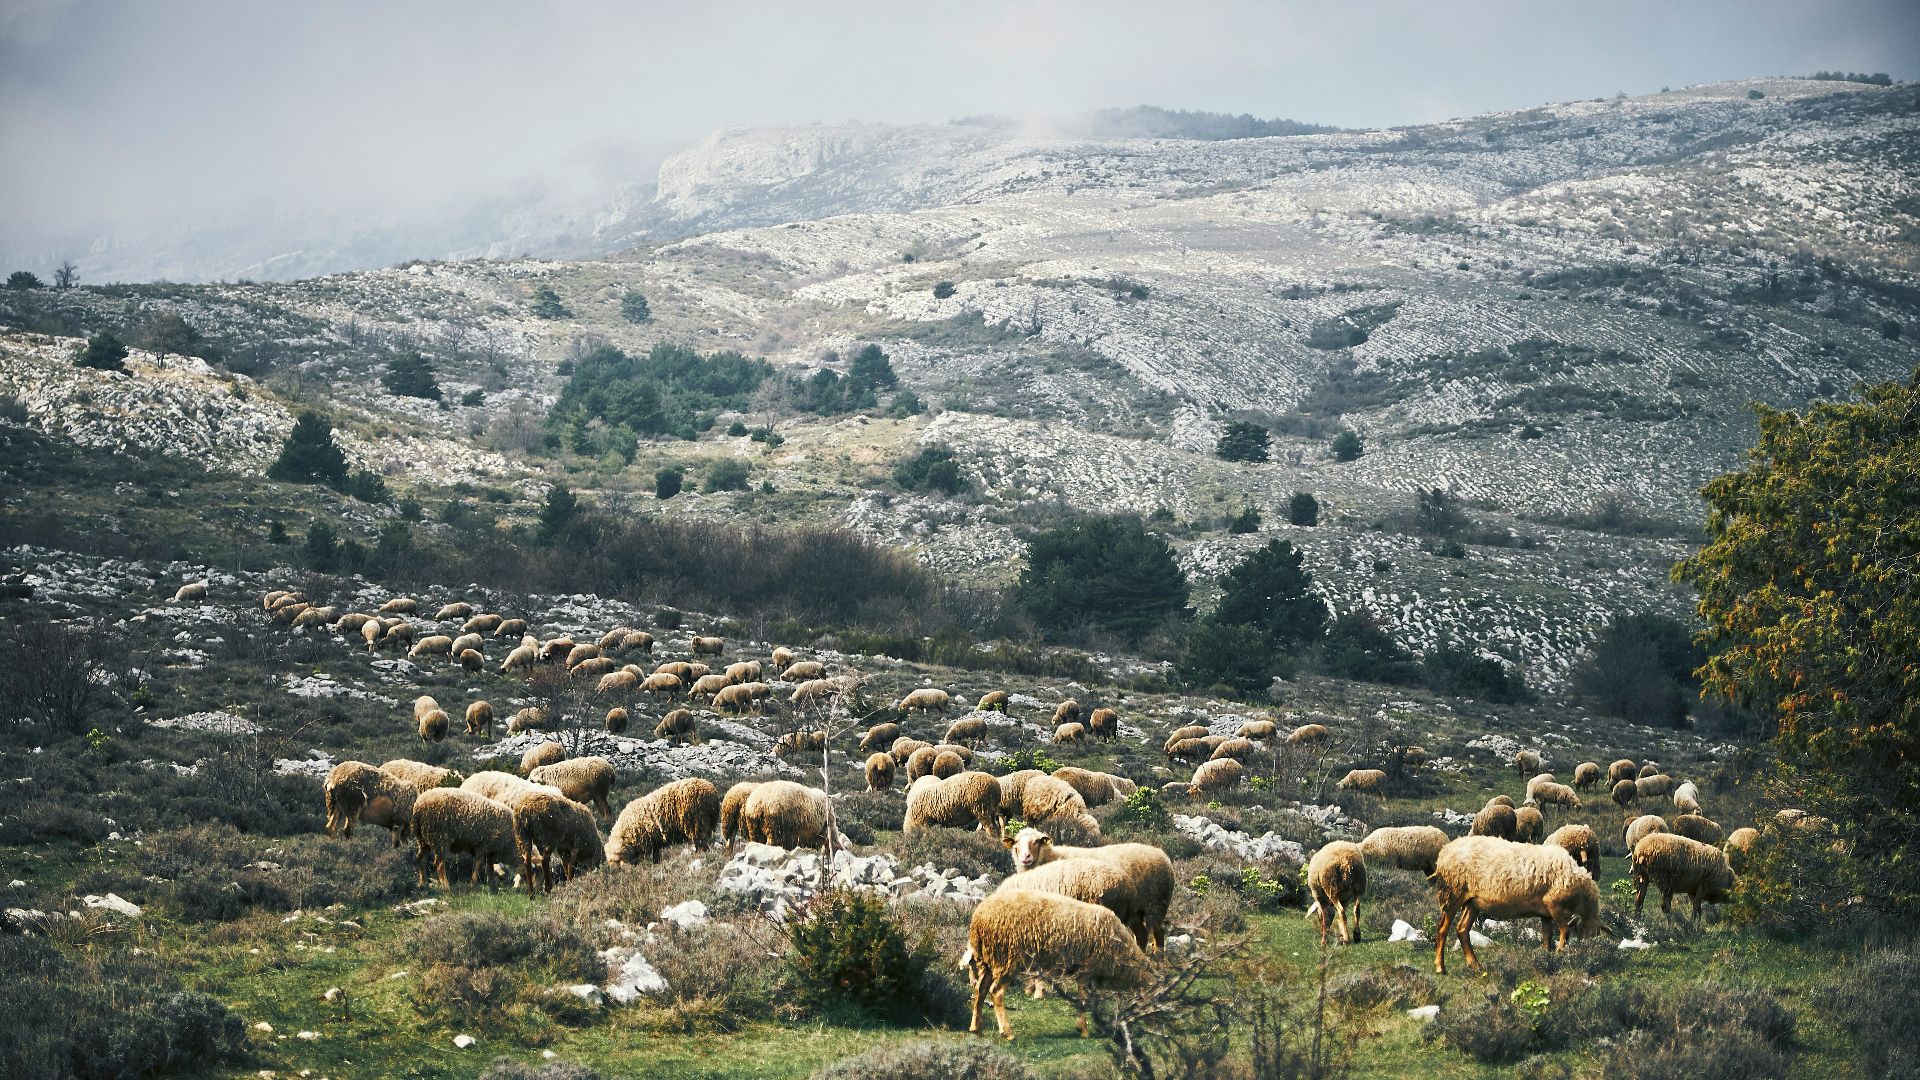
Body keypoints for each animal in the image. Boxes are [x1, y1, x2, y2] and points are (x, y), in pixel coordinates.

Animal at [965, 889, 1151, 1041]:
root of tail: (979, 918)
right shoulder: (1086, 969)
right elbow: (1083, 999)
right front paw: (1084, 1030)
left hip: (989, 960)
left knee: (980, 990)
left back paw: (976, 1028)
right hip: (1007, 959)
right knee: (996, 992)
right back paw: (1007, 1032)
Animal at [1005, 828, 1175, 951]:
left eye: (1036, 842)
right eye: (1016, 843)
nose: (1025, 858)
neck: (1052, 856)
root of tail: (1162, 854)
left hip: (1157, 905)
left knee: (1158, 933)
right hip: (1136, 912)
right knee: (1142, 935)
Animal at [1431, 836, 1603, 973]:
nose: (1590, 952)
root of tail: (1445, 852)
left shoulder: (1546, 913)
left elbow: (1547, 935)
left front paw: (1546, 956)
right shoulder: (1554, 905)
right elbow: (1565, 931)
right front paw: (1559, 954)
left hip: (1472, 902)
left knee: (1462, 929)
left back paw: (1474, 964)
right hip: (1453, 893)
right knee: (1442, 929)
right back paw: (1440, 967)